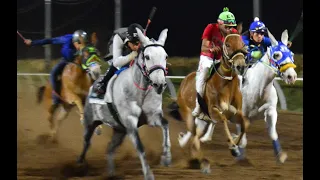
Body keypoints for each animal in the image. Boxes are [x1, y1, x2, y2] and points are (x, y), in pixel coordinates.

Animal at [76, 28, 171, 180]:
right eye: (147, 57)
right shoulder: (130, 122)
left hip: (119, 129)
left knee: (110, 148)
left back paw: (111, 173)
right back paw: (80, 164)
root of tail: (93, 84)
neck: (139, 90)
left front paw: (166, 158)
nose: (159, 84)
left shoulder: (152, 116)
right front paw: (148, 174)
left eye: (165, 56)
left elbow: (166, 125)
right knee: (86, 142)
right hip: (90, 121)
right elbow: (140, 147)